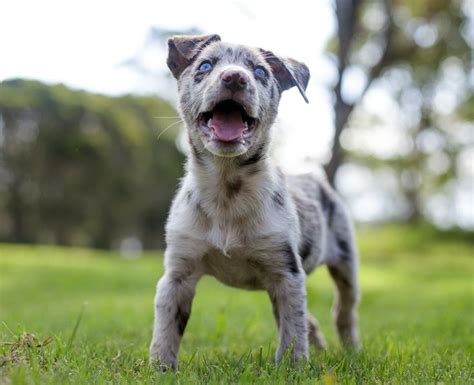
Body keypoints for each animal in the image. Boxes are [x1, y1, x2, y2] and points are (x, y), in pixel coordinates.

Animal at [150, 34, 362, 368]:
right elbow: (166, 327)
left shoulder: (286, 273)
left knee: (343, 310)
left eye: (261, 72)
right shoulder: (177, 274)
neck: (226, 192)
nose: (235, 77)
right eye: (205, 66)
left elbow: (292, 329)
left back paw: (351, 349)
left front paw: (293, 367)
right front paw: (160, 367)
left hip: (345, 262)